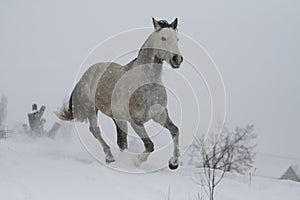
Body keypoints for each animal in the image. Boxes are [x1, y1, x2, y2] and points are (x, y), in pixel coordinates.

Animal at [56, 18, 183, 170]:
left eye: (177, 39)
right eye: (163, 38)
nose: (177, 59)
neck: (146, 83)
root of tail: (86, 74)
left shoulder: (159, 114)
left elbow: (175, 130)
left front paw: (173, 163)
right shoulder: (136, 121)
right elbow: (149, 145)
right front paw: (136, 161)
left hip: (117, 118)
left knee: (121, 141)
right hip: (92, 108)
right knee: (95, 130)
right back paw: (110, 158)